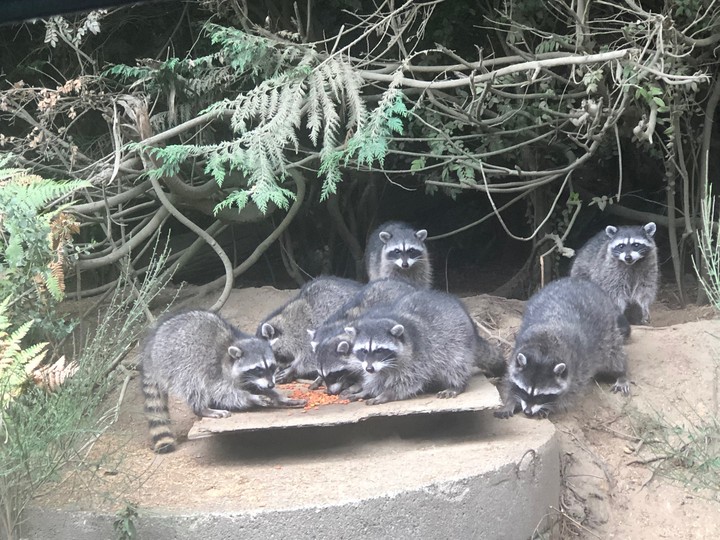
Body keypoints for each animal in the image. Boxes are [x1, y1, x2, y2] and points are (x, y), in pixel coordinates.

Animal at [141, 310, 305, 453]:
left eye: (271, 367)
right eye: (258, 369)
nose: (271, 384)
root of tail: (151, 347)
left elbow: (255, 386)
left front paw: (278, 397)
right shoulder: (214, 369)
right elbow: (221, 392)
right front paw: (251, 397)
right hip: (175, 362)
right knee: (194, 385)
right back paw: (202, 408)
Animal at [343, 289, 476, 405]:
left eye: (380, 350)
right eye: (363, 351)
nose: (369, 369)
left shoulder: (419, 358)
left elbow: (409, 381)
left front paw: (387, 394)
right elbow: (376, 379)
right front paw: (366, 391)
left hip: (456, 341)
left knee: (455, 365)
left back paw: (457, 385)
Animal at [495, 277, 630, 419]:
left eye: (541, 396)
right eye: (524, 391)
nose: (527, 412)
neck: (544, 350)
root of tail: (579, 281)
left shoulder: (578, 370)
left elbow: (569, 394)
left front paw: (550, 407)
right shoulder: (516, 351)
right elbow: (509, 380)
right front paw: (510, 401)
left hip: (607, 330)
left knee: (613, 356)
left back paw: (621, 373)